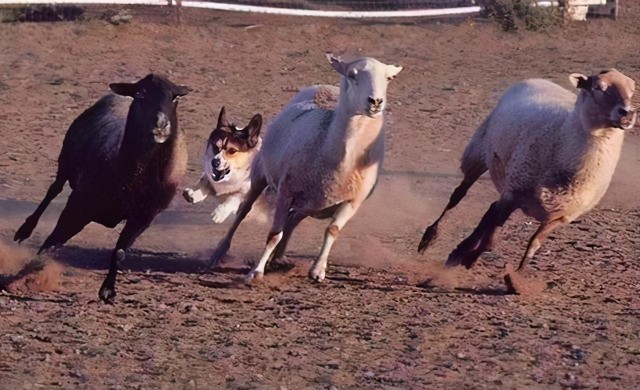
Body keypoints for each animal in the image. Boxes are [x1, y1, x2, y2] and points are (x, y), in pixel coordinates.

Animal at [210, 52, 402, 284]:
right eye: (352, 74)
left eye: (388, 78)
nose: (376, 102)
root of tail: (324, 86)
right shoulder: (285, 191)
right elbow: (273, 235)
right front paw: (256, 272)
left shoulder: (351, 202)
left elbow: (332, 231)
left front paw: (318, 269)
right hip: (262, 175)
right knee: (243, 211)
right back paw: (220, 251)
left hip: (312, 203)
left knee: (293, 220)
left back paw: (278, 257)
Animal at [420, 68, 636, 286]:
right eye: (598, 87)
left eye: (632, 90)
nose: (627, 113)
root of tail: (537, 79)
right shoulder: (514, 193)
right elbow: (490, 240)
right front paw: (469, 258)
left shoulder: (560, 215)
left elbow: (534, 244)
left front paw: (516, 279)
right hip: (479, 152)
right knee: (458, 195)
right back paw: (430, 238)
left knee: (490, 210)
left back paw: (460, 250)